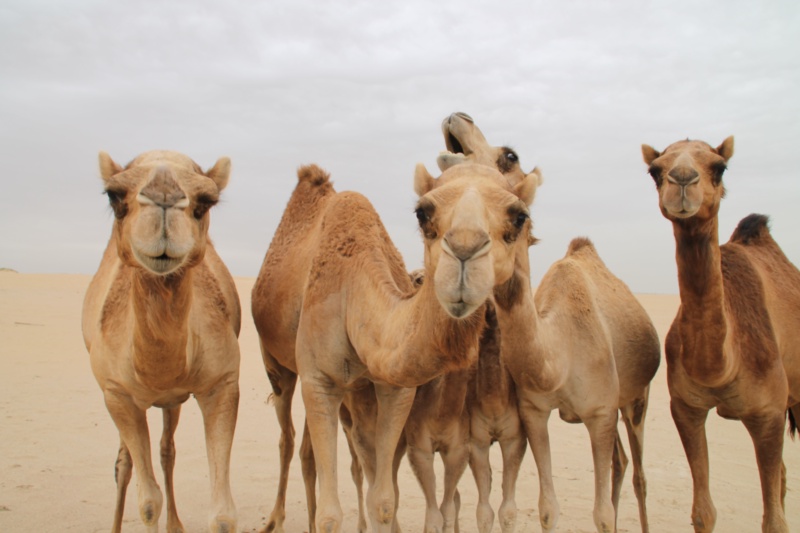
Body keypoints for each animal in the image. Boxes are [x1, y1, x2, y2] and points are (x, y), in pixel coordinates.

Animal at [82, 150, 241, 533]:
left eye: (206, 201)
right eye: (114, 196)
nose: (165, 194)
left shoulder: (222, 384)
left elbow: (223, 513)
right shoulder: (117, 394)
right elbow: (149, 501)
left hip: (172, 401)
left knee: (167, 450)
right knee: (124, 464)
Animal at [252, 161, 538, 533]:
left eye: (519, 217)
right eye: (423, 213)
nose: (464, 252)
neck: (352, 290)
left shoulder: (395, 389)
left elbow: (384, 501)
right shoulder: (319, 380)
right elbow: (331, 516)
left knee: (310, 452)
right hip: (275, 361)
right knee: (286, 438)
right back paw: (274, 520)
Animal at [641, 137, 800, 532]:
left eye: (719, 166)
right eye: (655, 171)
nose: (682, 179)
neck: (722, 366)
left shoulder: (769, 414)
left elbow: (774, 521)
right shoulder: (687, 408)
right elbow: (703, 511)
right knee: (783, 477)